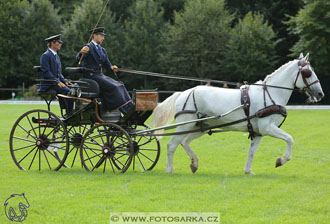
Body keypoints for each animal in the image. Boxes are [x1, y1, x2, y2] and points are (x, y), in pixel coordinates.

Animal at [153, 53, 324, 175]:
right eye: (308, 73)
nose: (320, 94)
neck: (271, 93)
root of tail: (183, 93)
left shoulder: (259, 132)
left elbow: (252, 152)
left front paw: (248, 171)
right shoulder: (268, 127)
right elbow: (290, 139)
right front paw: (281, 160)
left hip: (199, 126)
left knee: (184, 142)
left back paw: (194, 163)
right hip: (185, 125)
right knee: (171, 145)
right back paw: (170, 170)